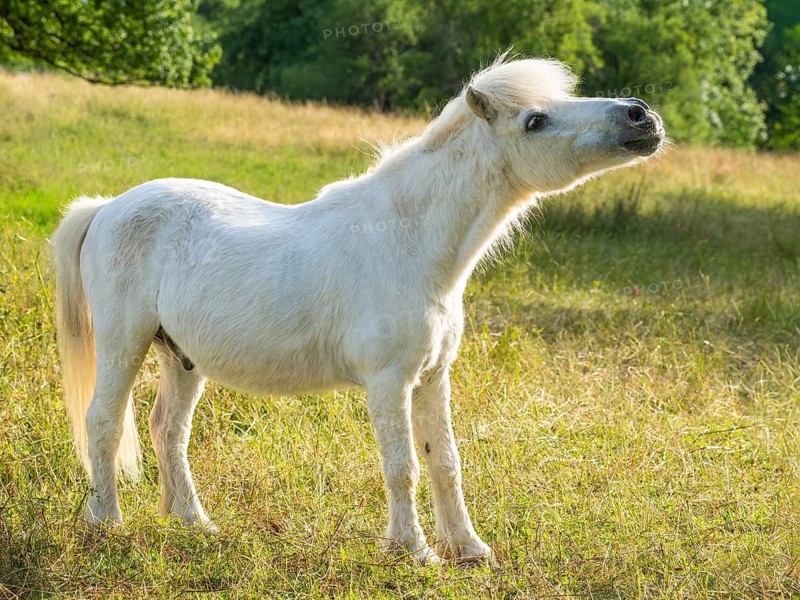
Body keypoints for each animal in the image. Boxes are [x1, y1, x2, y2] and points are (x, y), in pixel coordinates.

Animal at [52, 55, 664, 564]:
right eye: (535, 120)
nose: (641, 116)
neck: (410, 243)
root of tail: (107, 207)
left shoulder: (432, 378)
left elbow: (445, 462)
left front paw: (470, 550)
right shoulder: (389, 381)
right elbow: (403, 467)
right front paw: (415, 551)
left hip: (181, 359)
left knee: (168, 432)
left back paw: (196, 524)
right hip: (123, 345)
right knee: (104, 424)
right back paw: (107, 523)